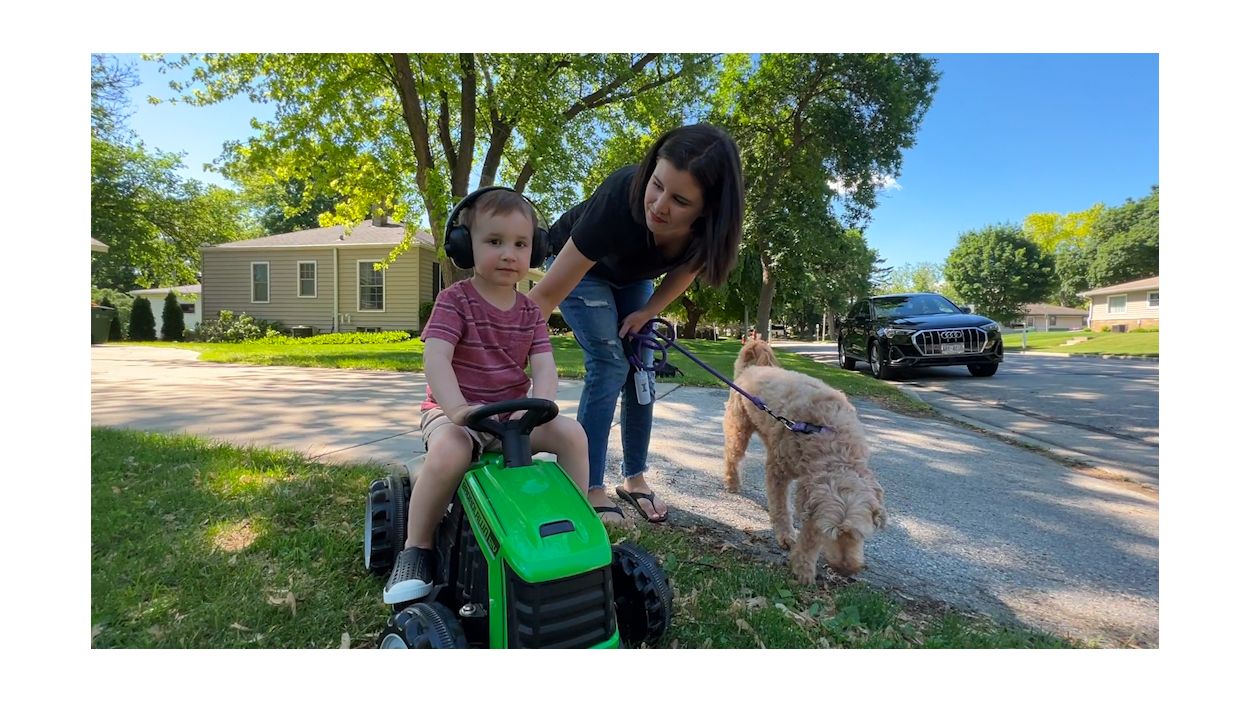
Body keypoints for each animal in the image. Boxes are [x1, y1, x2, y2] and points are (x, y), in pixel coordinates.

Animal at [722, 340, 886, 582]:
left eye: (859, 534)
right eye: (832, 533)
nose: (846, 571)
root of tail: (750, 369)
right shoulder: (780, 473)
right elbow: (786, 513)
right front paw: (799, 557)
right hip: (739, 429)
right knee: (732, 457)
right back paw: (732, 482)